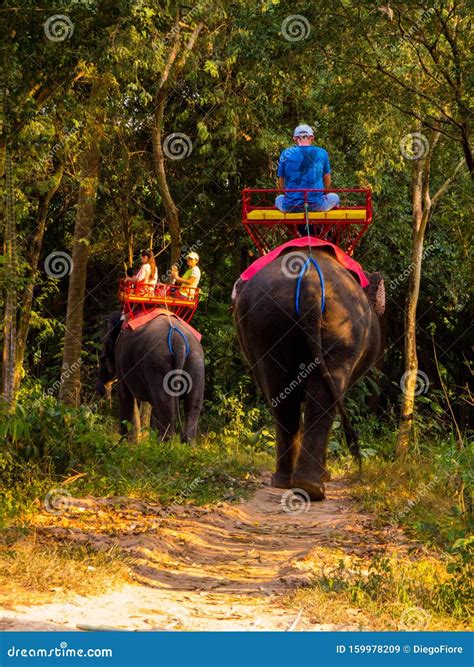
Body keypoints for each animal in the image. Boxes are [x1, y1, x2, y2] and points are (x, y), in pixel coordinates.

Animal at [97, 314, 205, 444]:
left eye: (103, 344)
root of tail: (179, 342)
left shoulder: (120, 357)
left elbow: (124, 395)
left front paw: (124, 444)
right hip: (196, 363)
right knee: (192, 407)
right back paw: (186, 445)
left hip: (158, 363)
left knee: (165, 406)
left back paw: (163, 445)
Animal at [234, 249, 386, 500]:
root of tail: (310, 287)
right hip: (340, 329)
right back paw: (308, 484)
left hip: (269, 325)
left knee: (285, 398)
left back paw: (295, 483)